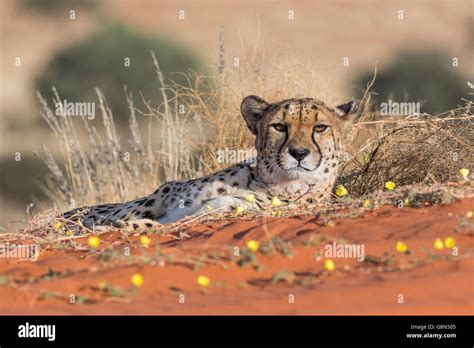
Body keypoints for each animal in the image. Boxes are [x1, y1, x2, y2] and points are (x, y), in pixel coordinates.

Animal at [62, 95, 360, 231]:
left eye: (320, 128)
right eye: (279, 126)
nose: (299, 153)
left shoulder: (215, 213)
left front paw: (119, 227)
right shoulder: (166, 193)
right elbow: (126, 210)